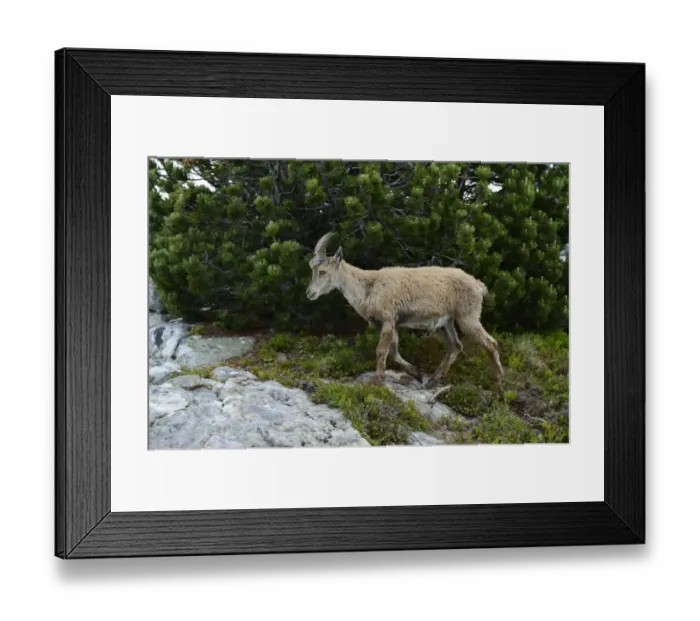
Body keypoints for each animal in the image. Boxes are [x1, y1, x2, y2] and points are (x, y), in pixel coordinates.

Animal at [306, 232, 504, 388]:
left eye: (323, 271)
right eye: (312, 268)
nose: (309, 292)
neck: (369, 286)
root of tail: (478, 285)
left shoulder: (388, 320)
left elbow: (381, 350)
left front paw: (376, 380)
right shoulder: (391, 324)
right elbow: (393, 352)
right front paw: (416, 373)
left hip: (467, 317)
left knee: (490, 343)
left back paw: (499, 382)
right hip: (445, 322)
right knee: (455, 346)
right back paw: (433, 380)